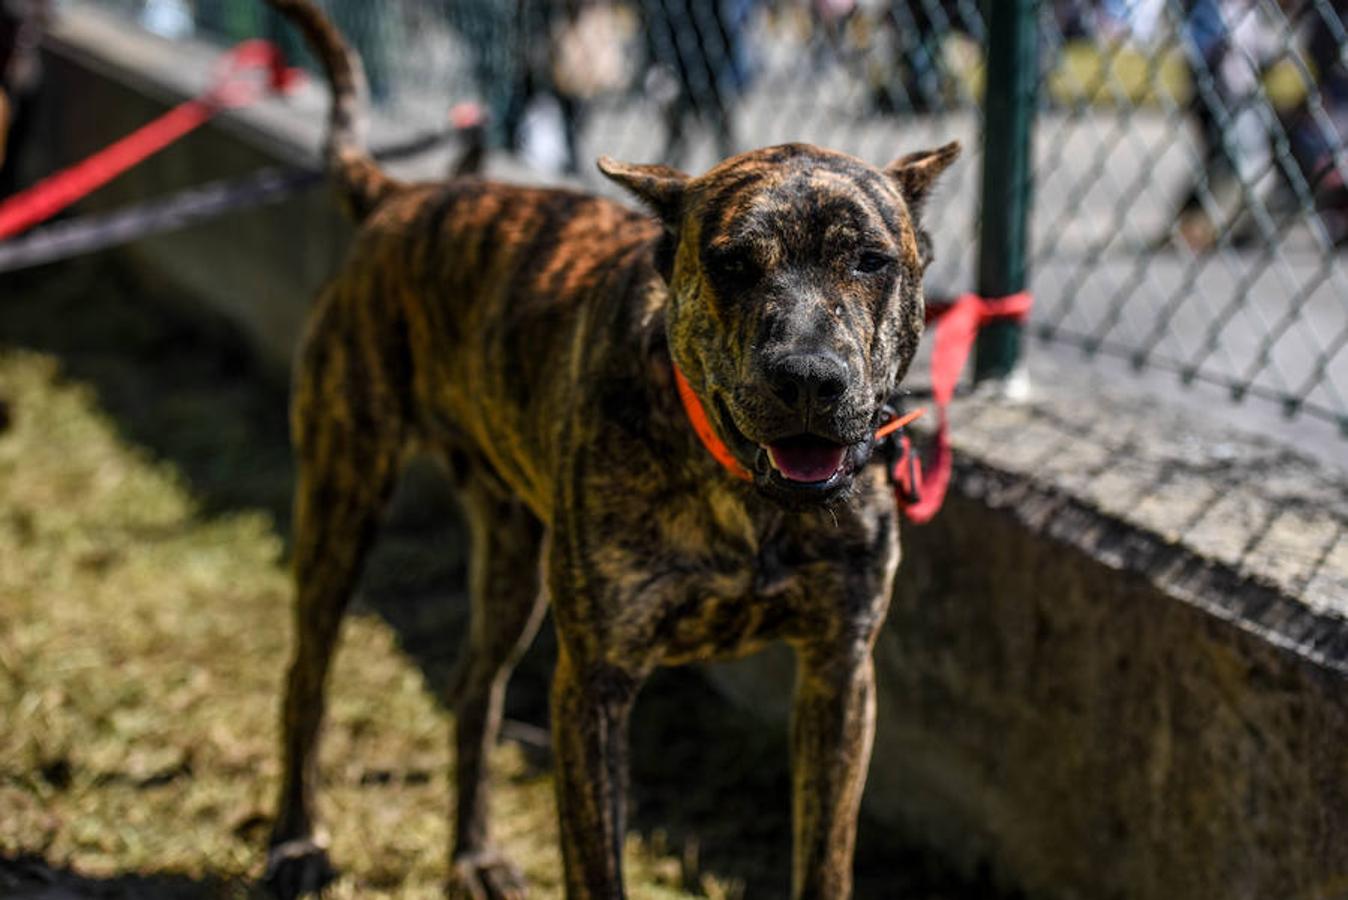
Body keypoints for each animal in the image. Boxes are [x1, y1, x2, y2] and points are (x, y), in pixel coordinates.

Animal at [260, 3, 959, 894]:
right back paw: (296, 840)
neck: (747, 500)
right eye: (731, 263)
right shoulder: (594, 683)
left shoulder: (840, 673)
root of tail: (402, 196)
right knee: (306, 676)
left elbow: (825, 859)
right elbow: (598, 865)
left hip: (511, 558)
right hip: (342, 498)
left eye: (870, 259)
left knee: (472, 690)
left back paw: (474, 855)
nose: (809, 377)